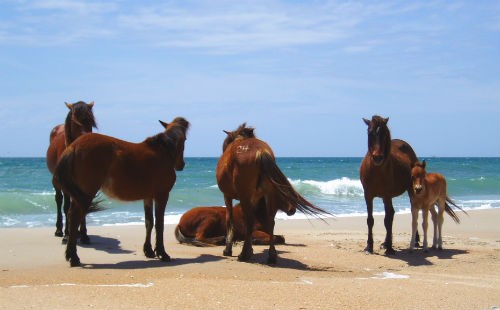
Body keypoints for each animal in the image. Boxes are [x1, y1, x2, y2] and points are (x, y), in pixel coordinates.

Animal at [45, 100, 96, 241]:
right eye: (75, 121)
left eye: (91, 121)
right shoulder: (65, 183)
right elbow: (66, 206)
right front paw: (67, 235)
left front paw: (84, 234)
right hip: (56, 181)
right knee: (59, 199)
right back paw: (59, 230)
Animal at [55, 116, 189, 266]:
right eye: (185, 139)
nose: (181, 165)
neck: (162, 153)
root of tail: (73, 146)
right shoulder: (162, 195)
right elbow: (160, 224)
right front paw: (162, 253)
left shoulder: (148, 197)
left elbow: (149, 222)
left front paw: (148, 251)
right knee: (74, 218)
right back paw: (74, 257)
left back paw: (70, 255)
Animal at [216, 122, 330, 262]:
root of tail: (260, 151)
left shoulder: (227, 195)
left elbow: (230, 220)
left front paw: (229, 249)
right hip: (269, 194)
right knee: (271, 221)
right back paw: (271, 255)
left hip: (246, 195)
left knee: (250, 220)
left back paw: (244, 255)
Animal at [360, 115, 418, 254]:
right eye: (370, 133)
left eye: (385, 134)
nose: (377, 157)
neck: (376, 171)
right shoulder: (368, 196)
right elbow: (370, 220)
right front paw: (369, 246)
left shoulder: (387, 195)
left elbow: (387, 220)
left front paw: (390, 248)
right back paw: (385, 243)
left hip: (410, 190)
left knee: (411, 212)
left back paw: (415, 241)